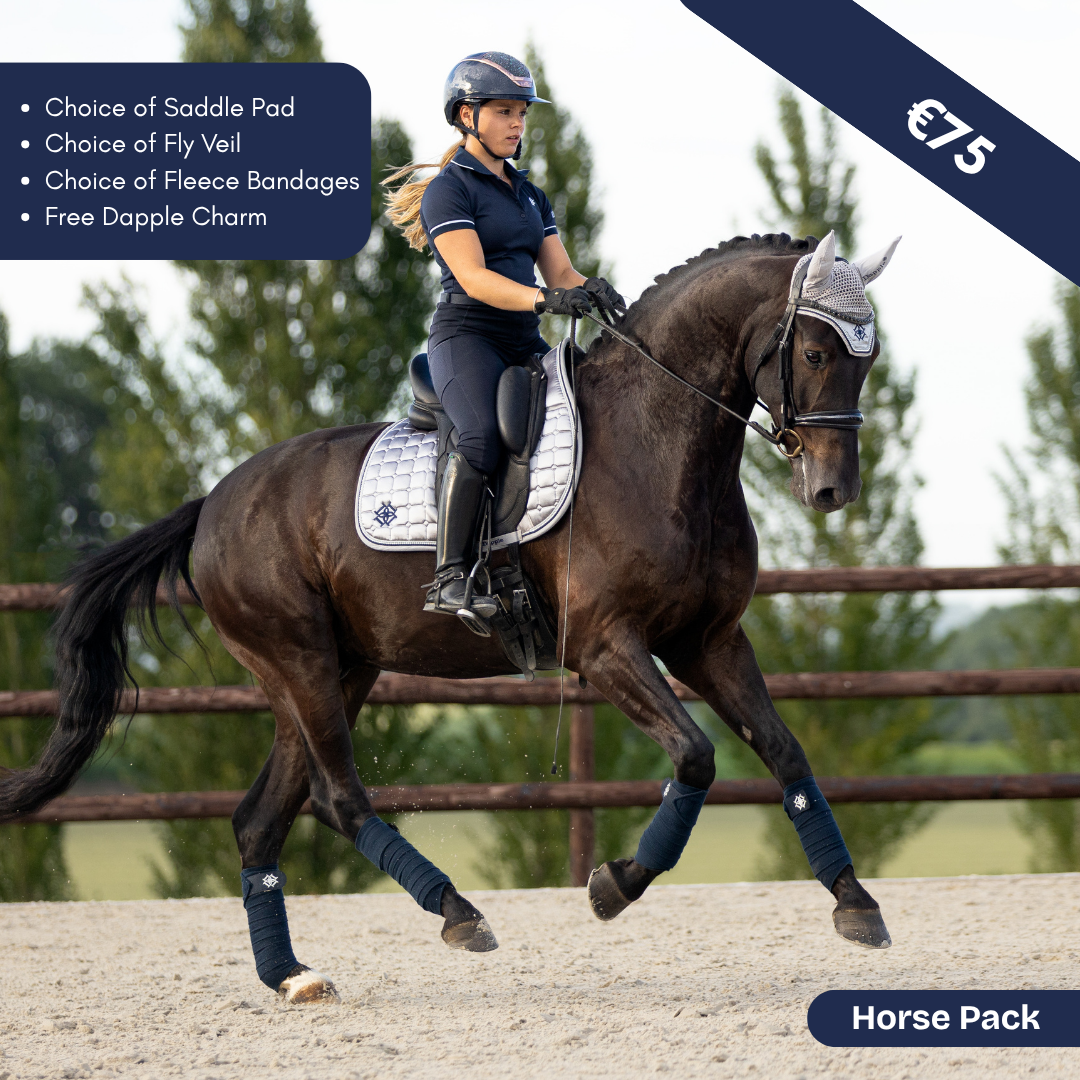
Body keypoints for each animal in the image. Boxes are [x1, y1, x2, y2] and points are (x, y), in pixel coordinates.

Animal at [1, 231, 898, 1003]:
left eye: (870, 357)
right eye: (815, 353)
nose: (833, 491)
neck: (657, 443)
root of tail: (212, 505)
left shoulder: (708, 642)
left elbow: (784, 752)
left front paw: (855, 903)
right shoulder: (607, 648)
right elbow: (697, 757)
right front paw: (614, 885)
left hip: (335, 670)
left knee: (262, 821)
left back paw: (292, 976)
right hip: (299, 662)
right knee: (338, 799)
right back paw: (458, 913)